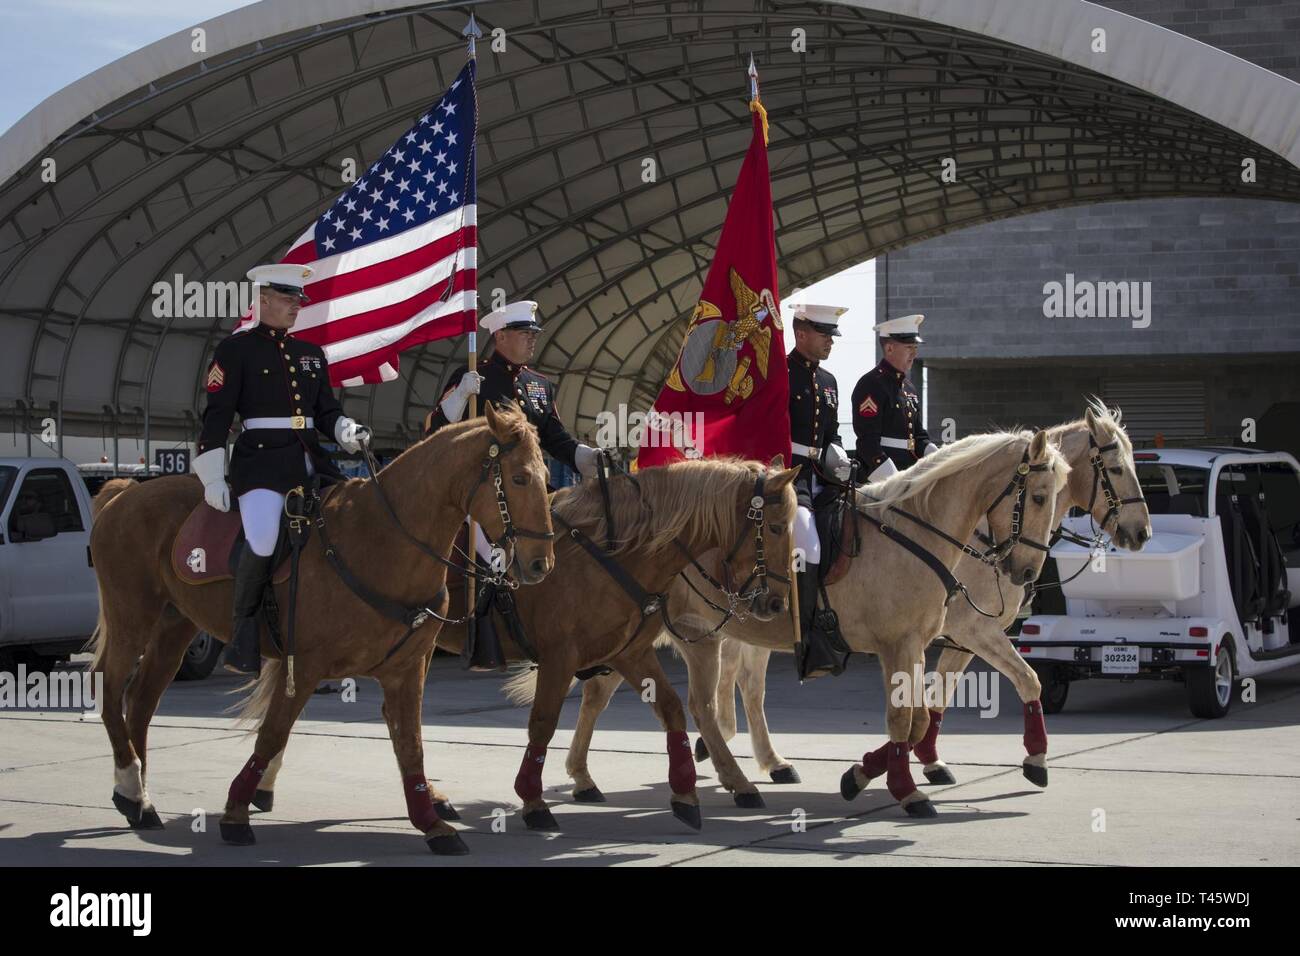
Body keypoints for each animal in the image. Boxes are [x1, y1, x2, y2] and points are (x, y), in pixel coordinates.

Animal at [85, 408, 553, 858]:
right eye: (519, 477)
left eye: (547, 476)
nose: (540, 564)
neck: (383, 540)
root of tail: (124, 492)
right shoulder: (305, 666)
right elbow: (273, 733)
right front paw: (236, 811)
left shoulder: (406, 668)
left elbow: (410, 743)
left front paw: (432, 823)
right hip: (132, 618)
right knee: (110, 690)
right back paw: (132, 784)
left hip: (174, 627)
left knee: (140, 702)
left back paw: (138, 800)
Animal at [559, 431, 1066, 816]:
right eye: (1039, 497)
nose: (1027, 572)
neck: (913, 534)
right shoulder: (901, 645)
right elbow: (903, 719)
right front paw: (905, 791)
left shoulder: (919, 645)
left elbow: (920, 719)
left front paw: (861, 775)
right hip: (693, 638)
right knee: (690, 705)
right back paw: (729, 782)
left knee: (616, 693)